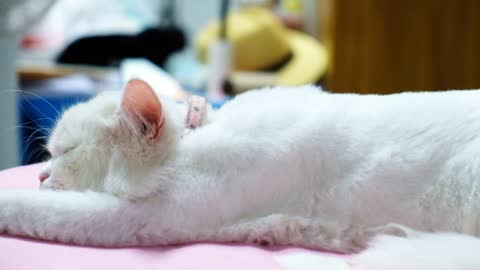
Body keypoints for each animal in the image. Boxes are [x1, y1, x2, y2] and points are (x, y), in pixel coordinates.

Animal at [0, 78, 480, 268]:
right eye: (48, 154)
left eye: (66, 151)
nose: (40, 175)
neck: (193, 137)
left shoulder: (139, 219)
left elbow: (43, 211)